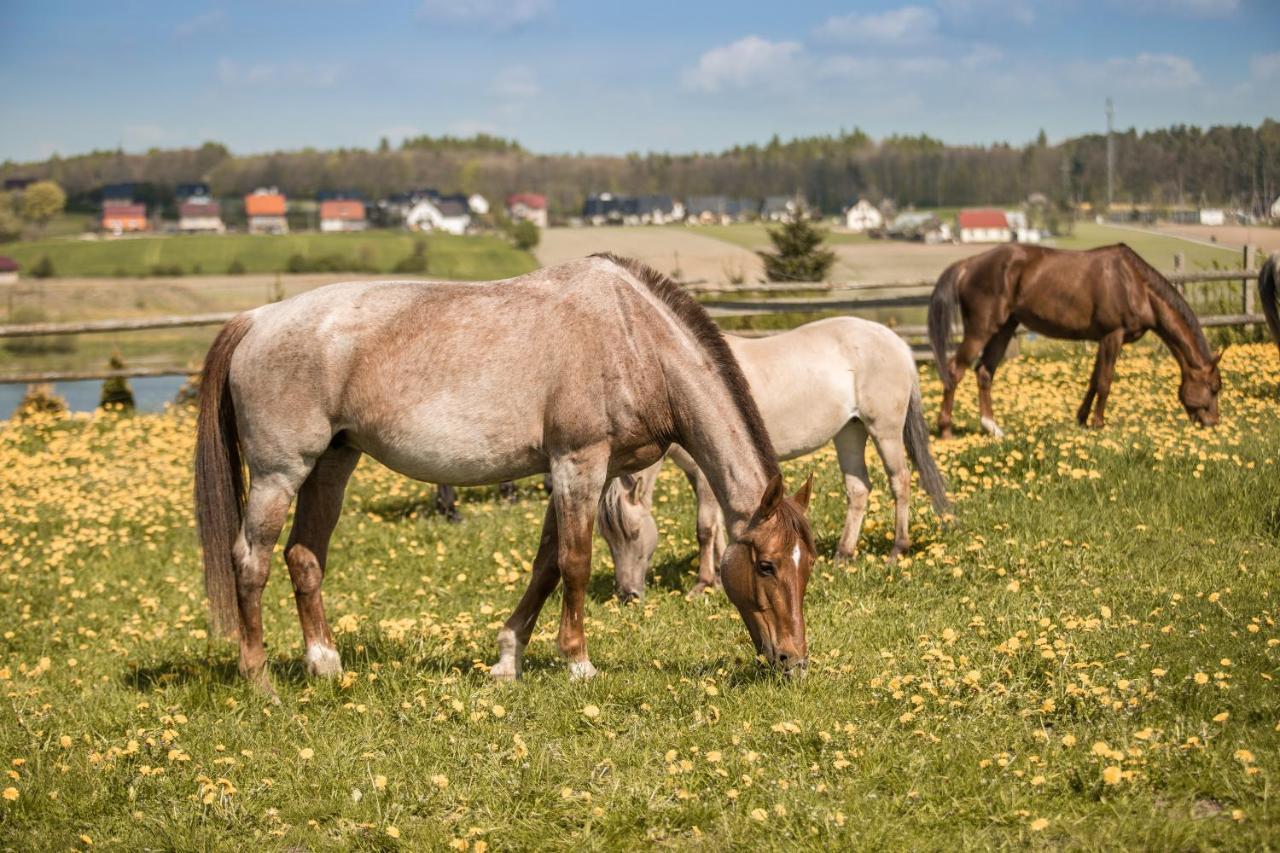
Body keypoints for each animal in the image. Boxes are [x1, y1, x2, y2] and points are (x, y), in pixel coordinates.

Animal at [194, 252, 814, 691]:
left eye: (805, 566)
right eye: (765, 565)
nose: (792, 661)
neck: (633, 336)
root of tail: (257, 319)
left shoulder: (565, 473)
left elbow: (544, 566)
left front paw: (508, 657)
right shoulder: (579, 464)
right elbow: (575, 564)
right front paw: (577, 662)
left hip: (331, 464)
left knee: (304, 557)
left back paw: (324, 663)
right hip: (279, 475)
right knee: (250, 562)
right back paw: (261, 681)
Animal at [596, 315, 952, 601]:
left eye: (632, 533)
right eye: (606, 537)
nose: (627, 595)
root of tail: (896, 342)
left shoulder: (706, 472)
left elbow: (706, 527)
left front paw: (704, 583)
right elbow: (721, 527)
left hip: (884, 431)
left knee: (900, 482)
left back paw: (897, 550)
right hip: (849, 433)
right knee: (859, 489)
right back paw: (843, 555)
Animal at [931, 240, 1218, 435]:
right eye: (1214, 388)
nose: (1213, 423)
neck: (1135, 285)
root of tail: (968, 265)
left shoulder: (1104, 339)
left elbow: (1093, 380)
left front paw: (1082, 420)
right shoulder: (1112, 336)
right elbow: (1105, 381)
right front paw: (1099, 423)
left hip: (1004, 329)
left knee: (984, 372)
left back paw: (992, 428)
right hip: (981, 329)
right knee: (955, 370)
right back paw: (946, 429)